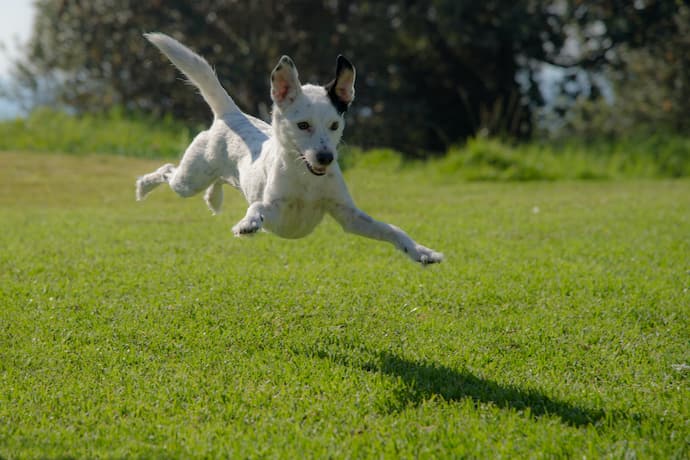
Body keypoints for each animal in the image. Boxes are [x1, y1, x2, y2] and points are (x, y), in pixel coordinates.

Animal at [137, 34, 444, 264]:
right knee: (168, 171)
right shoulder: (276, 211)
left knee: (216, 181)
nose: (326, 158)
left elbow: (392, 230)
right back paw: (143, 186)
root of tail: (231, 114)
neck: (306, 179)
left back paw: (213, 198)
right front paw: (248, 223)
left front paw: (421, 252)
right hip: (189, 179)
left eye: (334, 125)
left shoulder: (349, 216)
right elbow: (258, 207)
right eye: (303, 125)